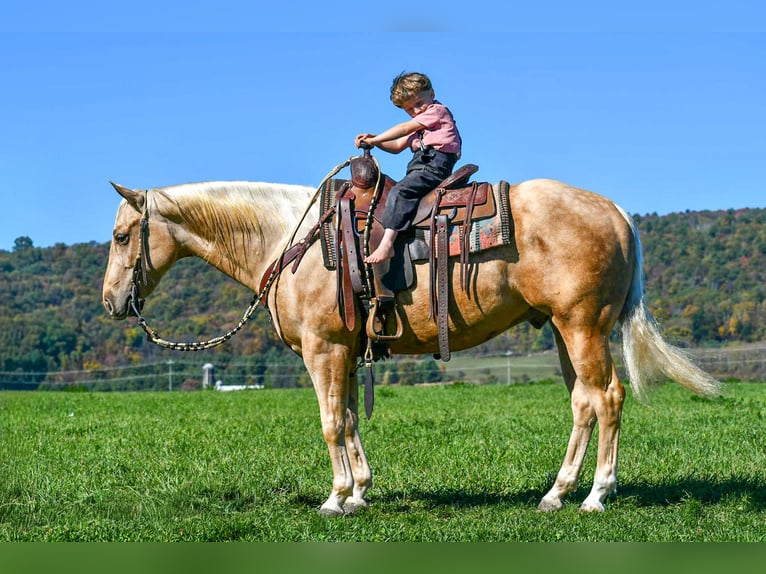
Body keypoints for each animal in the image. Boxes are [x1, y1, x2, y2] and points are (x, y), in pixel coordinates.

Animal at [101, 174, 720, 515]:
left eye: (121, 235)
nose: (110, 302)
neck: (291, 240)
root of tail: (616, 212)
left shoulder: (324, 350)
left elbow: (331, 422)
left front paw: (335, 499)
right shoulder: (346, 353)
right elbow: (351, 418)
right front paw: (359, 492)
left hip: (583, 325)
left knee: (607, 397)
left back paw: (596, 495)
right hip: (564, 331)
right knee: (584, 403)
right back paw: (557, 492)